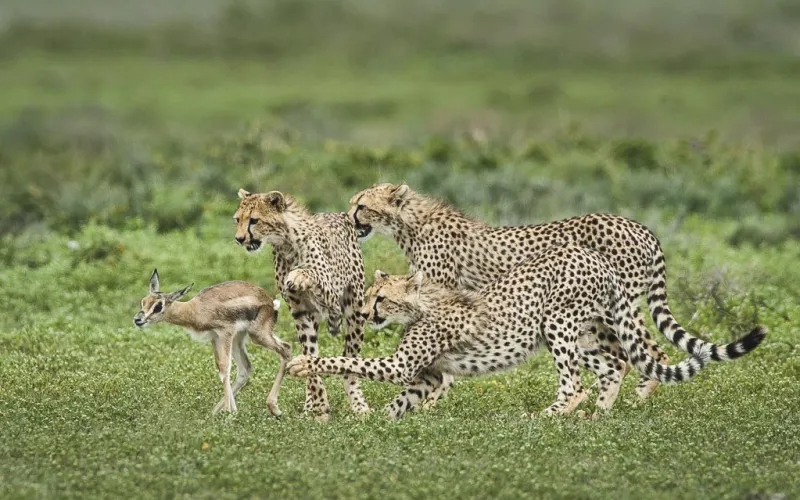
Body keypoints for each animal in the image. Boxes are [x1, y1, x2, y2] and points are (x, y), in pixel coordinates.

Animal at [234, 188, 370, 420]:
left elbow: (312, 273)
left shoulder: (332, 298)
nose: (239, 239)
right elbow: (310, 355)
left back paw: (359, 405)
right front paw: (319, 406)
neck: (286, 243)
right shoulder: (299, 311)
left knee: (350, 362)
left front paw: (299, 274)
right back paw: (309, 402)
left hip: (355, 313)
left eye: (254, 220)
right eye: (238, 219)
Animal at [286, 243, 767, 420]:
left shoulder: (404, 365)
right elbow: (400, 402)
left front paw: (302, 364)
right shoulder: (427, 376)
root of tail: (594, 257)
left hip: (556, 323)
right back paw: (597, 417)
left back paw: (546, 417)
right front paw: (377, 425)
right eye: (369, 295)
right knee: (614, 365)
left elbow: (348, 361)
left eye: (381, 298)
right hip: (581, 331)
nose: (366, 313)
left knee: (574, 384)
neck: (423, 305)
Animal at [348, 183, 686, 403]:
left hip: (609, 311)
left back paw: (632, 402)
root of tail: (641, 227)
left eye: (361, 205)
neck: (412, 224)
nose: (347, 217)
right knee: (627, 357)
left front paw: (432, 401)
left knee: (647, 352)